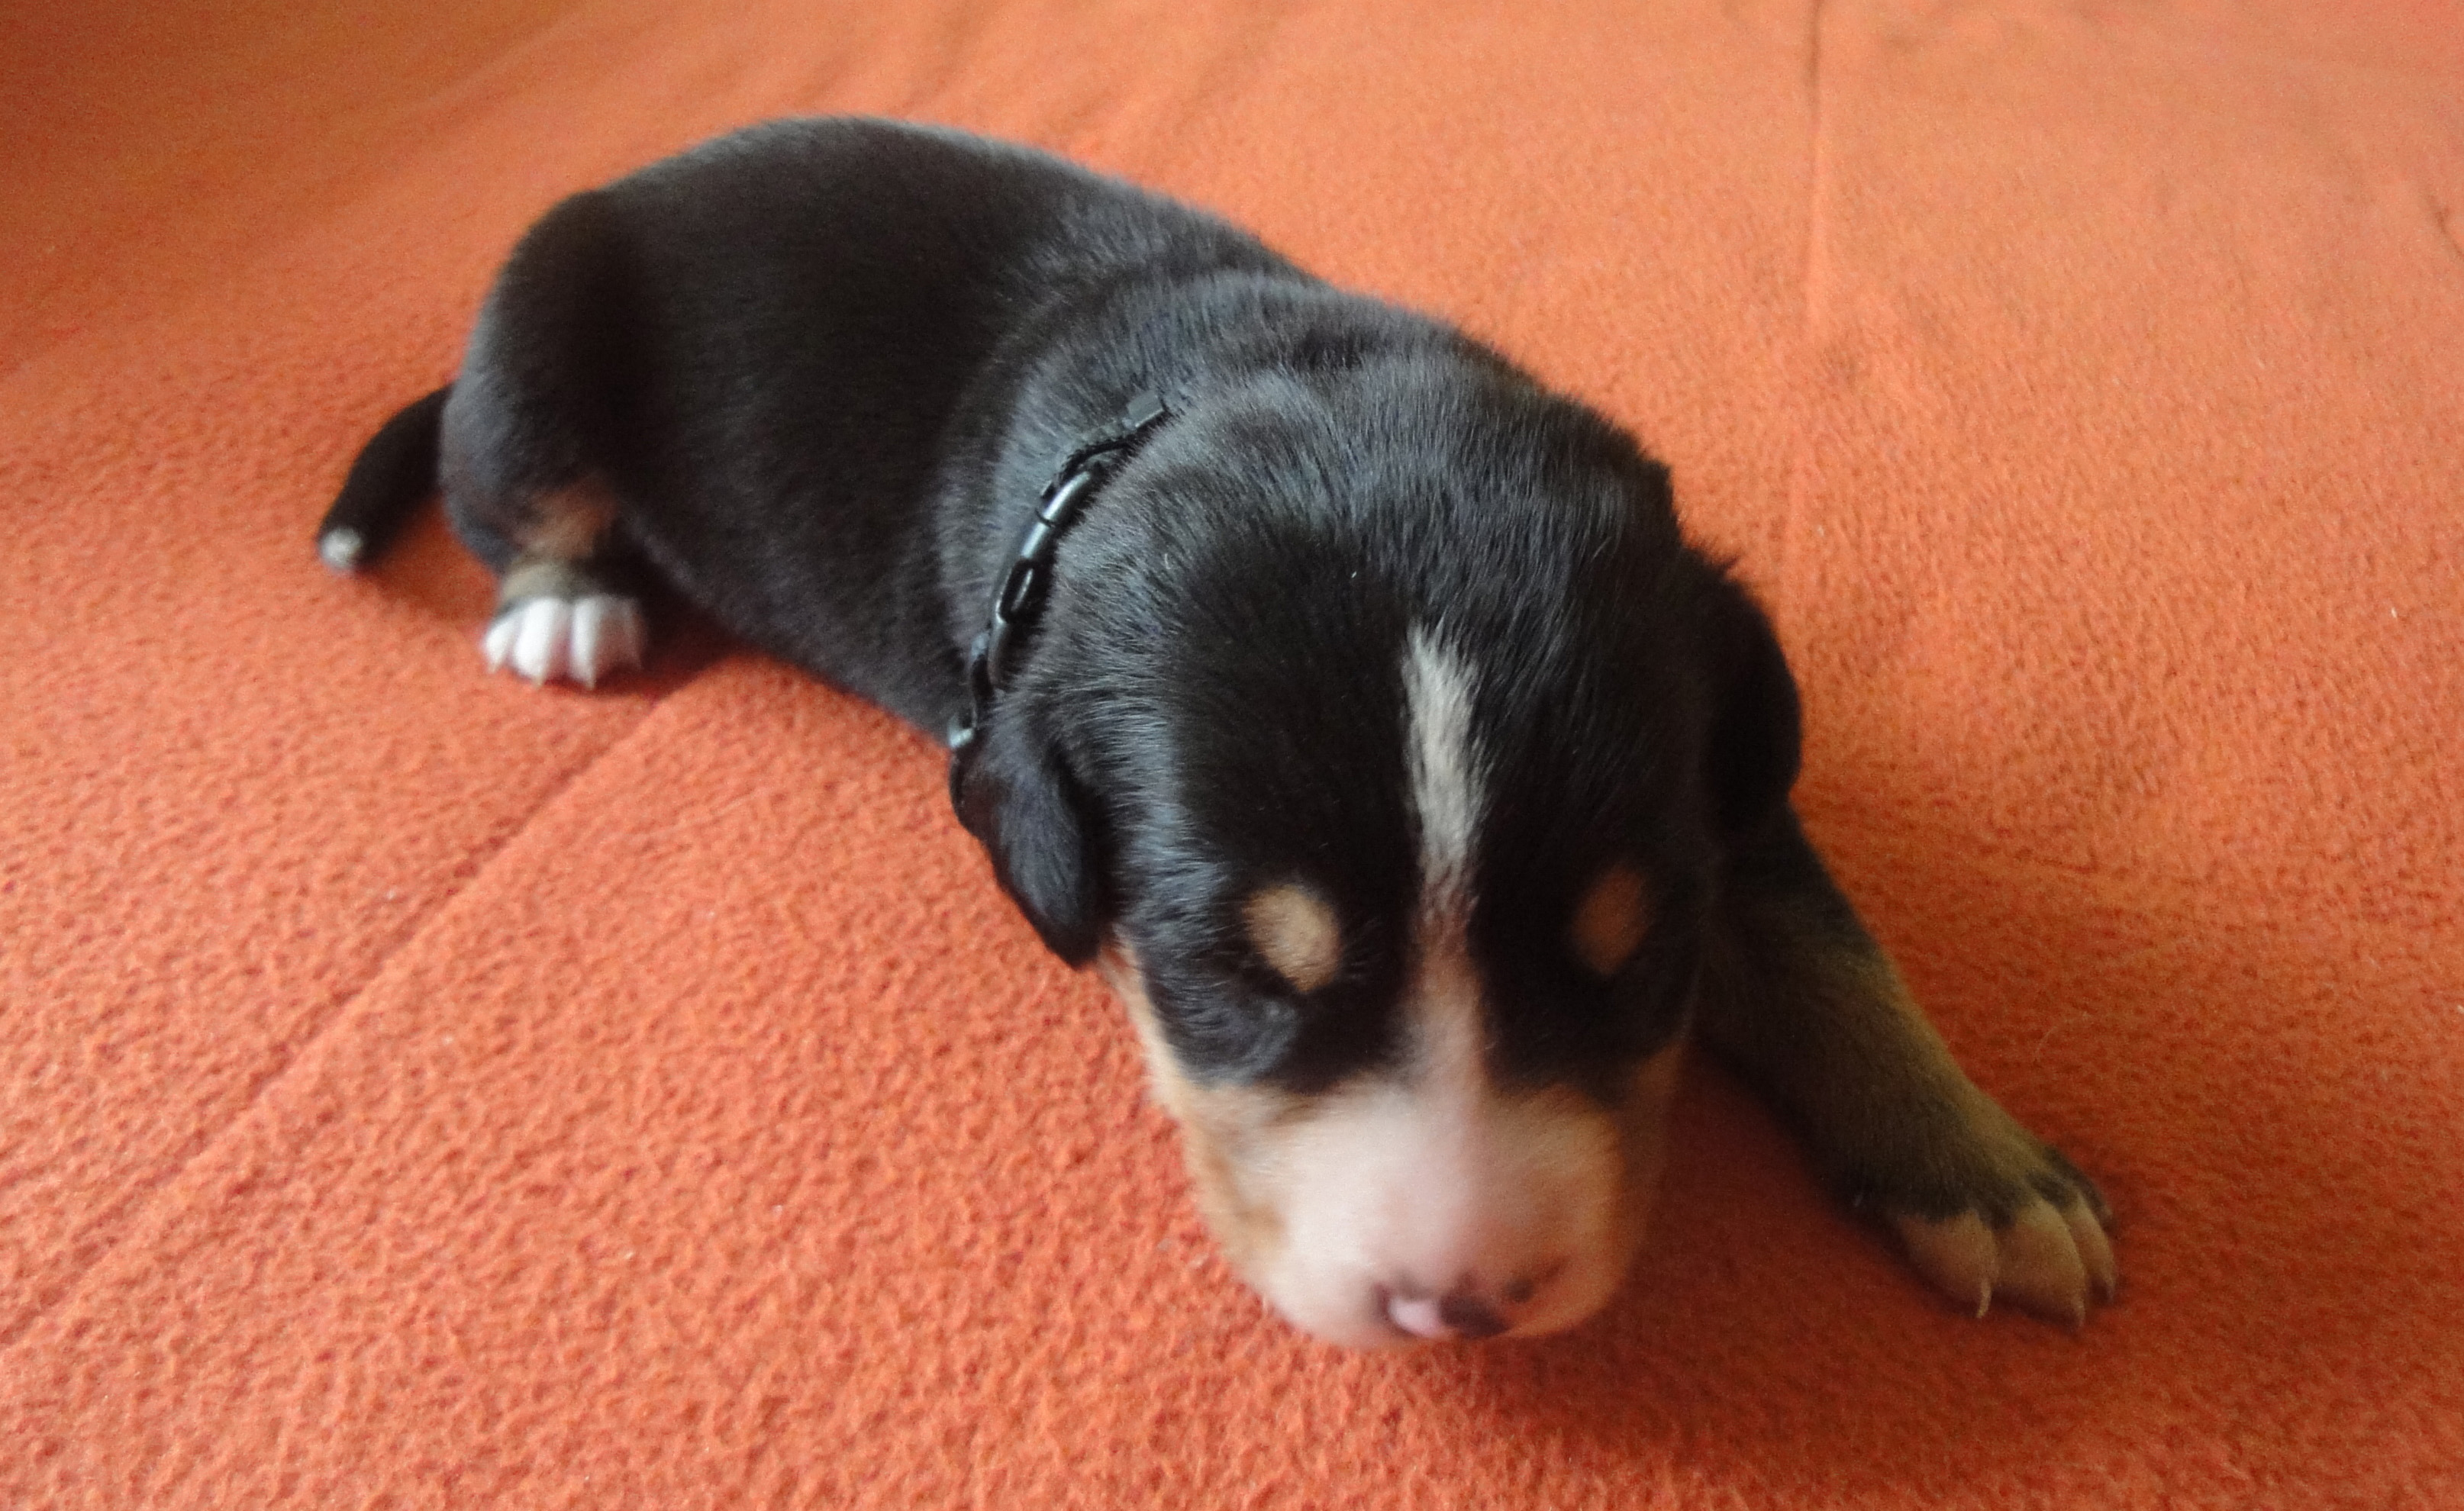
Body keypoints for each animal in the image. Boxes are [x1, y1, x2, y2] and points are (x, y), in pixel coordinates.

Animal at [320, 117, 2115, 1347]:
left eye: (1636, 963)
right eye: (1238, 977)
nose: (1460, 1302)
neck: (1273, 375)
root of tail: (636, 179)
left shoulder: (1718, 778)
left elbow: (1830, 947)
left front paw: (1984, 1176)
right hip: (544, 335)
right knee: (513, 493)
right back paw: (566, 605)